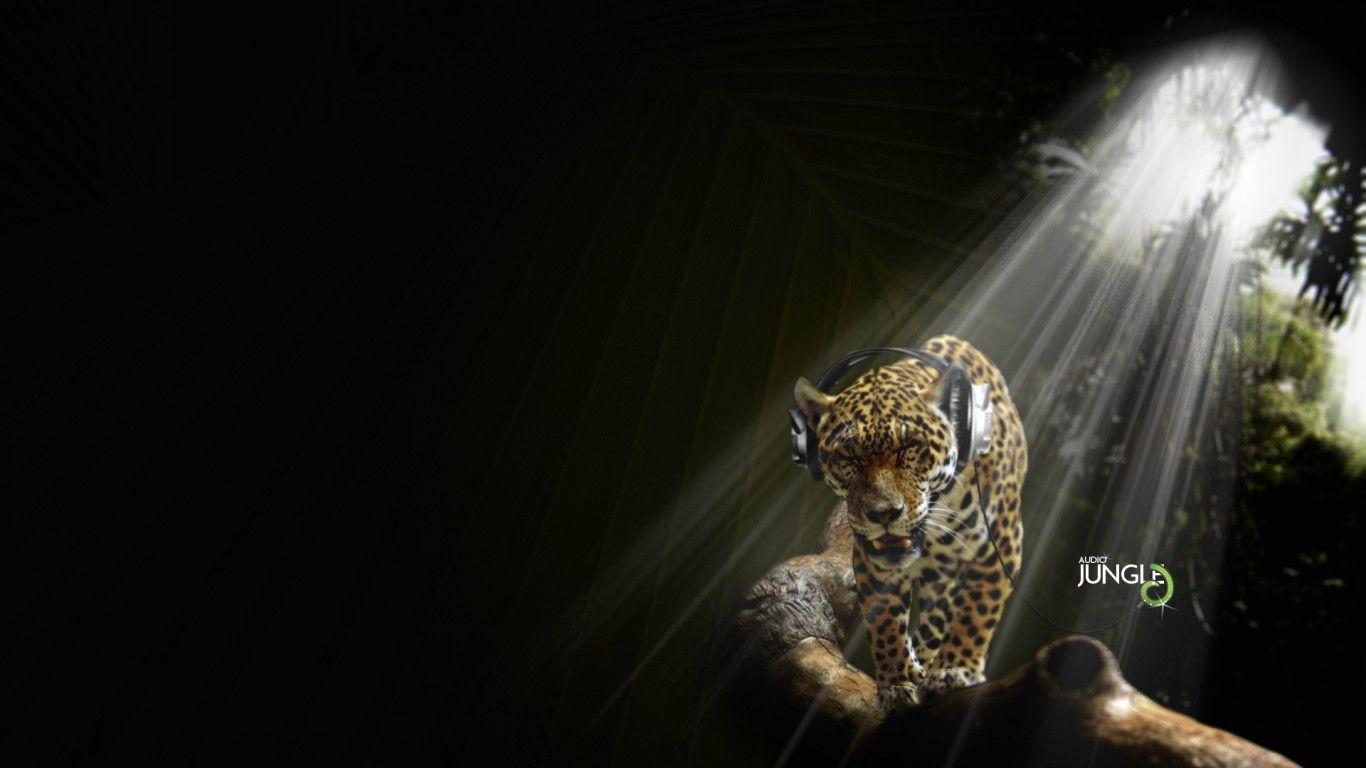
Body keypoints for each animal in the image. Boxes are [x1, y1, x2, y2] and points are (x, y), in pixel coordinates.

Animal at [792, 335, 1026, 711]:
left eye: (910, 448)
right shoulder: (871, 558)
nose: (883, 513)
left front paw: (955, 670)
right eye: (849, 457)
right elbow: (885, 620)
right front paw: (898, 681)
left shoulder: (1001, 541)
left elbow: (977, 607)